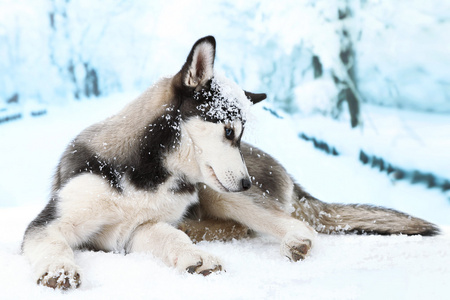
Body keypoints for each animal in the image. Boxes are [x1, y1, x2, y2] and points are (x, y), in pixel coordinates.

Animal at [22, 35, 438, 290]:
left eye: (240, 133)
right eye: (227, 131)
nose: (246, 183)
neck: (151, 173)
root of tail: (290, 177)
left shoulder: (143, 225)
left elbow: (171, 234)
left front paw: (196, 254)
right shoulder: (64, 225)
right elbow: (54, 244)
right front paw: (59, 268)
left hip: (219, 192)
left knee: (293, 224)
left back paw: (287, 240)